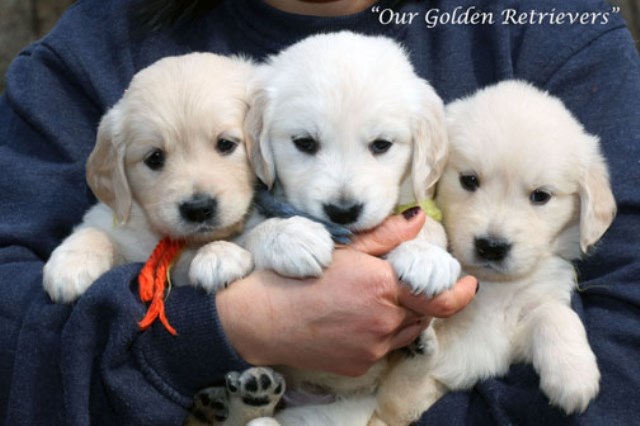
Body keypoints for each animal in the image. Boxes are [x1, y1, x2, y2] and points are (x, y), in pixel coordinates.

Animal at [42, 54, 258, 302]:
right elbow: (93, 229)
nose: (198, 209)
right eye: (154, 158)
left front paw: (220, 254)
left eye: (225, 144)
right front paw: (71, 262)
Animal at [372, 80, 616, 426]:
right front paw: (424, 256)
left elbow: (554, 314)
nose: (491, 246)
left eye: (541, 196)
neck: (491, 287)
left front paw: (573, 374)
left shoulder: (508, 336)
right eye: (469, 180)